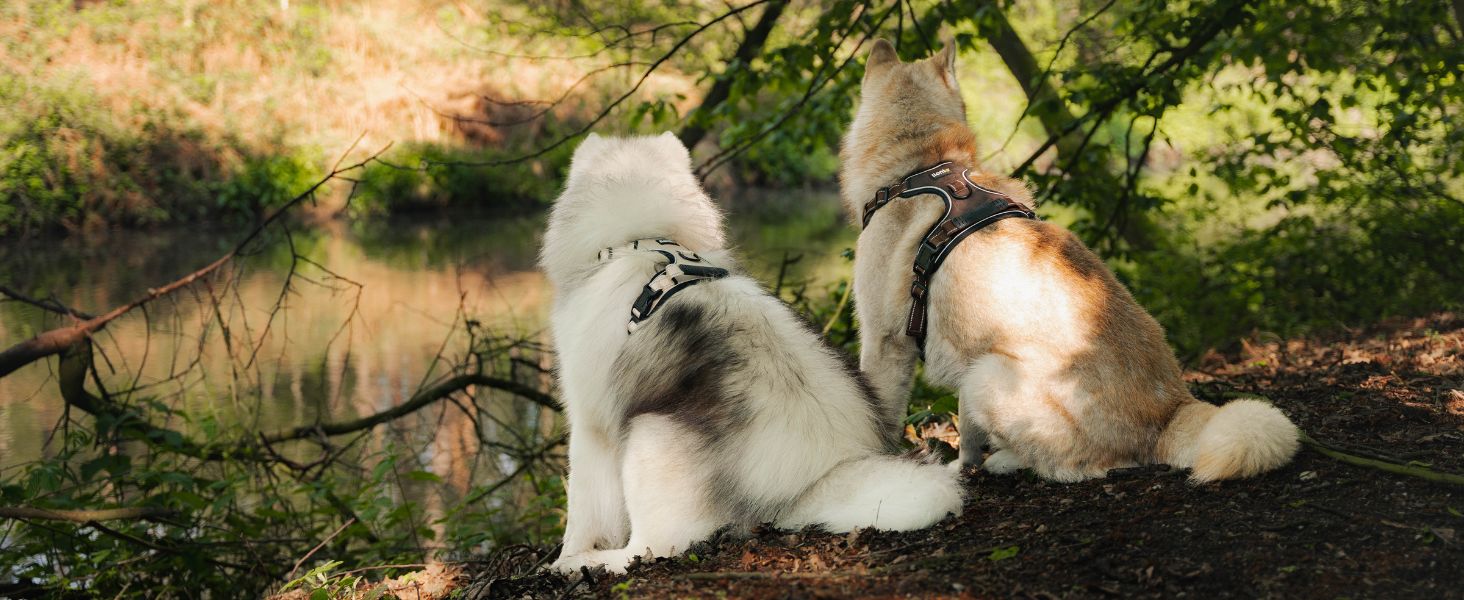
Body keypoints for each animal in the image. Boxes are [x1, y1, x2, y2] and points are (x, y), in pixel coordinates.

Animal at [538, 130, 960, 570]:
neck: (644, 244)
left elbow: (582, 509)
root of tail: (814, 480)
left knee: (653, 546)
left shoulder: (590, 426)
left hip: (647, 434)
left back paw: (587, 563)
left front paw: (564, 556)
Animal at [843, 39, 1300, 482]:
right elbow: (968, 431)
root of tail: (1170, 411)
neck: (922, 167)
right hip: (977, 373)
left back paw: (1009, 461)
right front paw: (964, 464)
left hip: (987, 376)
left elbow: (881, 418)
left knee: (1071, 466)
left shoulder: (885, 343)